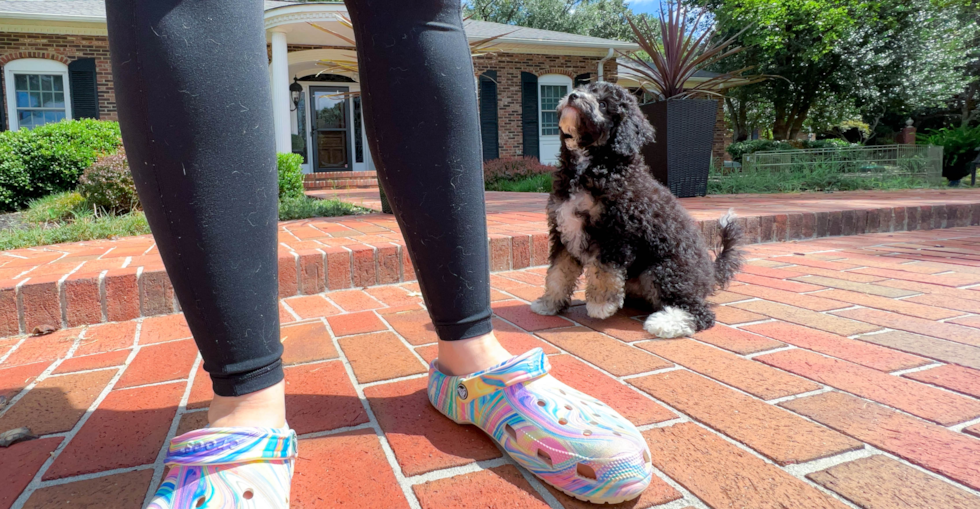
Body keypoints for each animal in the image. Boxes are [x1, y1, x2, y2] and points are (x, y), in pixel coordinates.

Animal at [532, 82, 748, 338]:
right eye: (585, 88)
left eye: (603, 104)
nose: (573, 96)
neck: (593, 164)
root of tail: (710, 274)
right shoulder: (563, 230)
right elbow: (558, 272)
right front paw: (549, 303)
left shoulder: (617, 232)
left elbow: (604, 269)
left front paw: (601, 304)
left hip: (665, 269)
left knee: (700, 313)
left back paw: (665, 323)